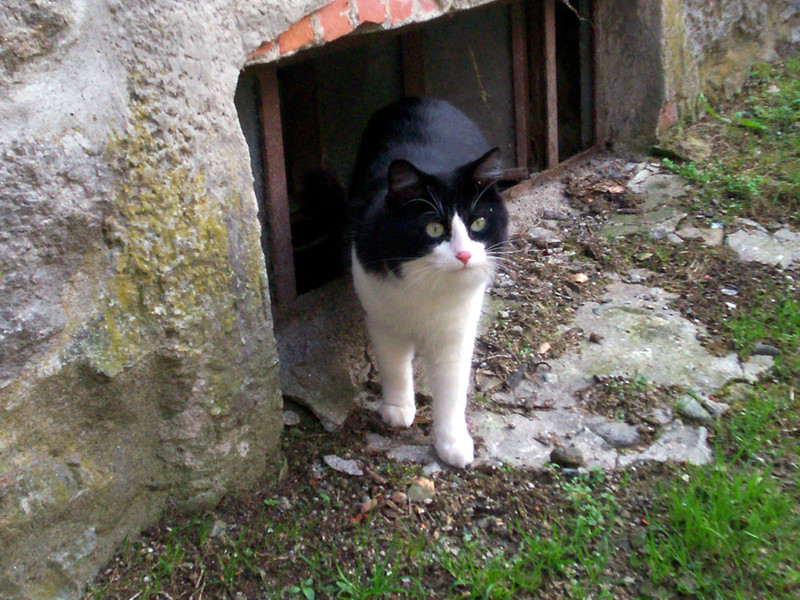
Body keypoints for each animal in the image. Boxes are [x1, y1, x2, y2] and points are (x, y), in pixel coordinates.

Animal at [348, 97, 506, 468]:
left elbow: (451, 388)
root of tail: (418, 98)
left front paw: (452, 442)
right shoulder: (383, 319)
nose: (464, 255)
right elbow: (393, 366)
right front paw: (397, 408)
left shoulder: (456, 331)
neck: (428, 287)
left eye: (478, 223)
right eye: (434, 228)